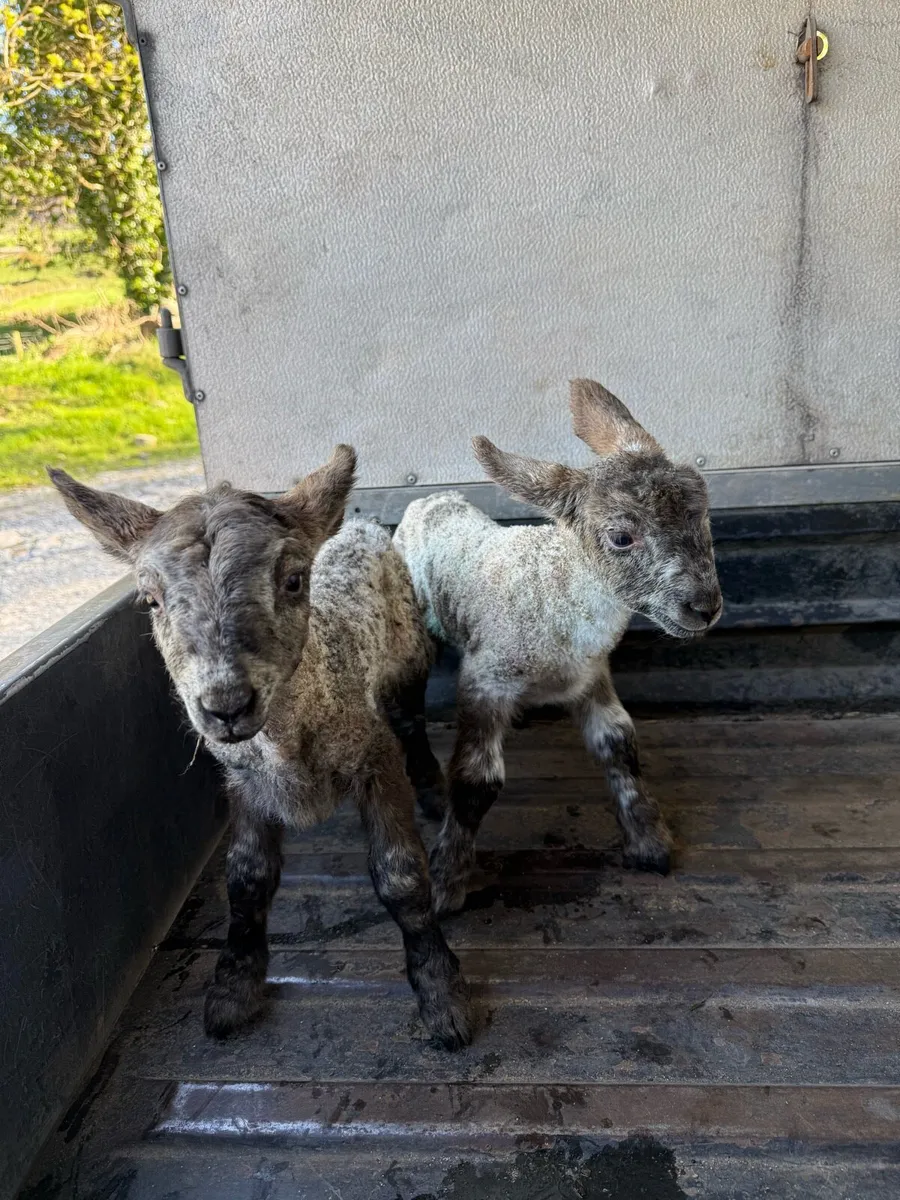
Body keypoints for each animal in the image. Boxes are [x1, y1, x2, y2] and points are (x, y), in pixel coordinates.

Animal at [49, 447, 473, 1050]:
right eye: (149, 599)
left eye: (294, 580)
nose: (225, 704)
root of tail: (361, 524)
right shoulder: (243, 782)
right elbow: (246, 878)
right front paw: (233, 987)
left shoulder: (373, 757)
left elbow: (401, 875)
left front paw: (440, 992)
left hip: (409, 652)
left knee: (412, 721)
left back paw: (434, 792)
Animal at [394, 380, 723, 916]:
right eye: (621, 537)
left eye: (705, 515)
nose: (705, 607)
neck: (553, 590)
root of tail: (433, 497)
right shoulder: (487, 678)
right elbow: (477, 780)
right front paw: (446, 881)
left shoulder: (592, 674)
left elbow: (619, 744)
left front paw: (648, 844)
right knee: (406, 710)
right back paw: (429, 793)